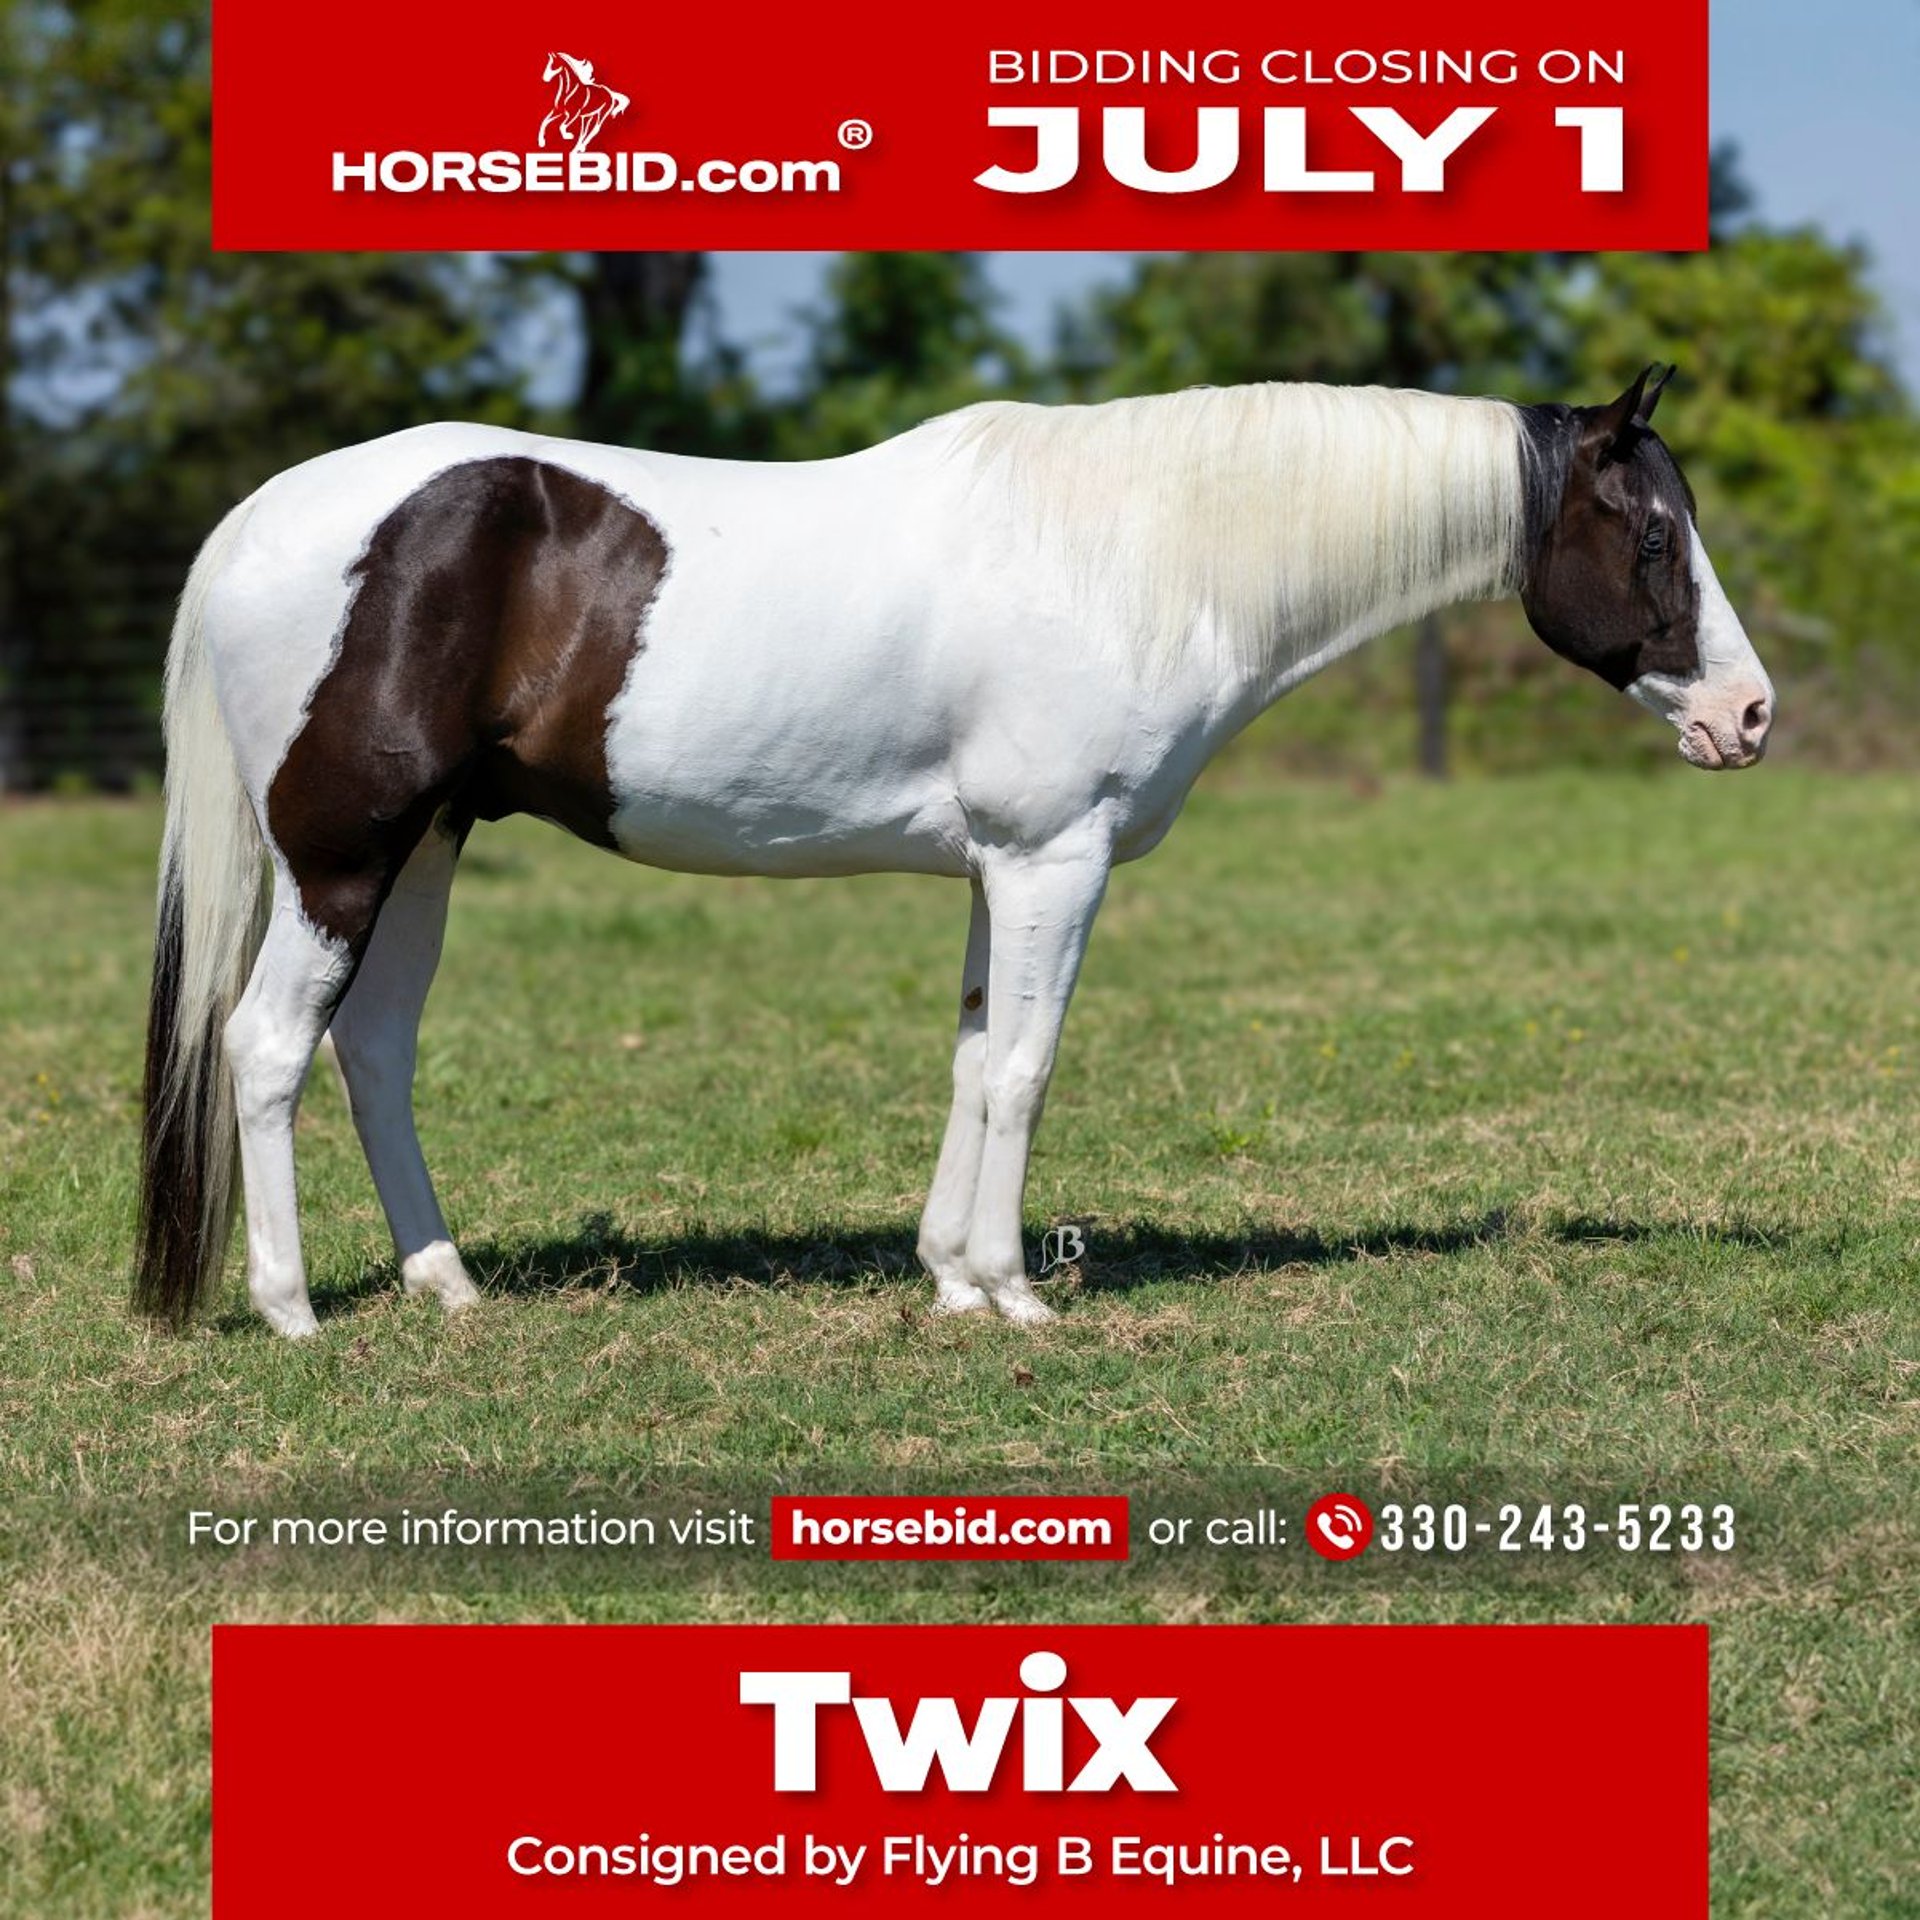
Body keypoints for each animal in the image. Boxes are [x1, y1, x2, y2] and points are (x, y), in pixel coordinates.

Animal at [135, 368, 1774, 1338]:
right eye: (1648, 533)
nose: (1750, 717)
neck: (1138, 552)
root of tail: (265, 516)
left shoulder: (1003, 867)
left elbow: (977, 1056)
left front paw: (948, 1278)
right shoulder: (1057, 859)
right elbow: (1029, 1068)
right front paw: (1008, 1293)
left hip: (427, 850)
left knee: (375, 1050)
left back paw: (448, 1284)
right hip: (345, 856)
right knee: (269, 1046)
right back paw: (291, 1309)